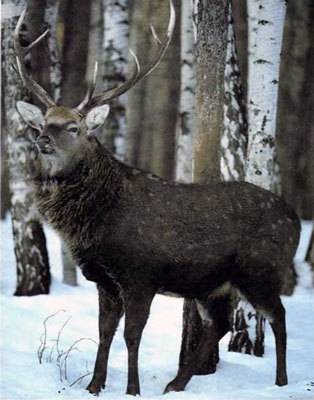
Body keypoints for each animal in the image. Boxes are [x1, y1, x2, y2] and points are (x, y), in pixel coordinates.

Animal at [13, 1, 300, 396]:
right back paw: (176, 383)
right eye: (43, 123)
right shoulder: (105, 280)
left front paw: (132, 389)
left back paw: (281, 382)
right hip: (211, 284)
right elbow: (105, 333)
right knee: (221, 324)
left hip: (261, 270)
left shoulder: (141, 274)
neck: (98, 223)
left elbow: (132, 336)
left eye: (74, 127)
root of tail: (297, 220)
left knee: (279, 316)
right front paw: (94, 386)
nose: (42, 141)